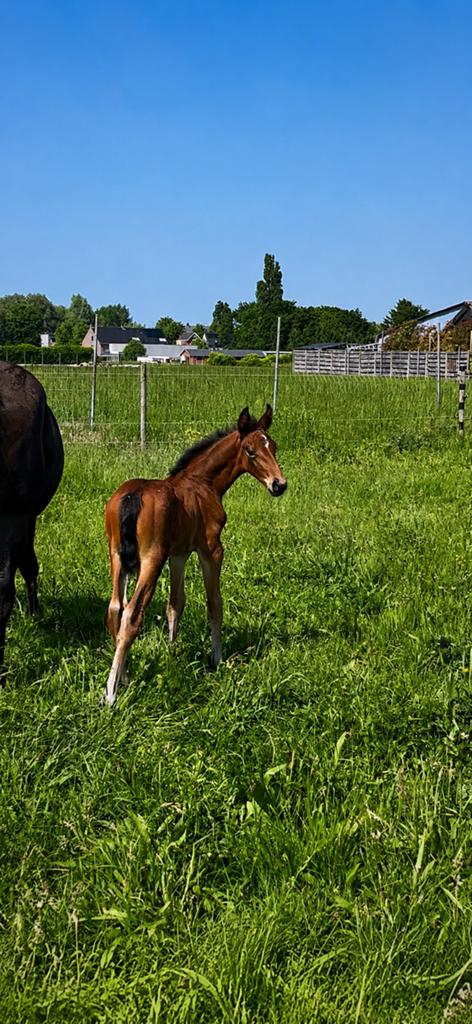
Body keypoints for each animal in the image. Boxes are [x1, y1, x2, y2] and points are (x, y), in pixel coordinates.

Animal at [103, 403, 287, 706]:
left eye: (273, 446)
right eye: (251, 451)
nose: (279, 485)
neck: (203, 483)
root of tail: (132, 497)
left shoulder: (179, 554)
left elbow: (175, 603)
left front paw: (171, 650)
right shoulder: (210, 549)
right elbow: (214, 603)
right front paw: (218, 658)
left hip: (117, 557)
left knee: (115, 608)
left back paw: (124, 677)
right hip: (151, 560)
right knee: (132, 614)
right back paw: (111, 693)